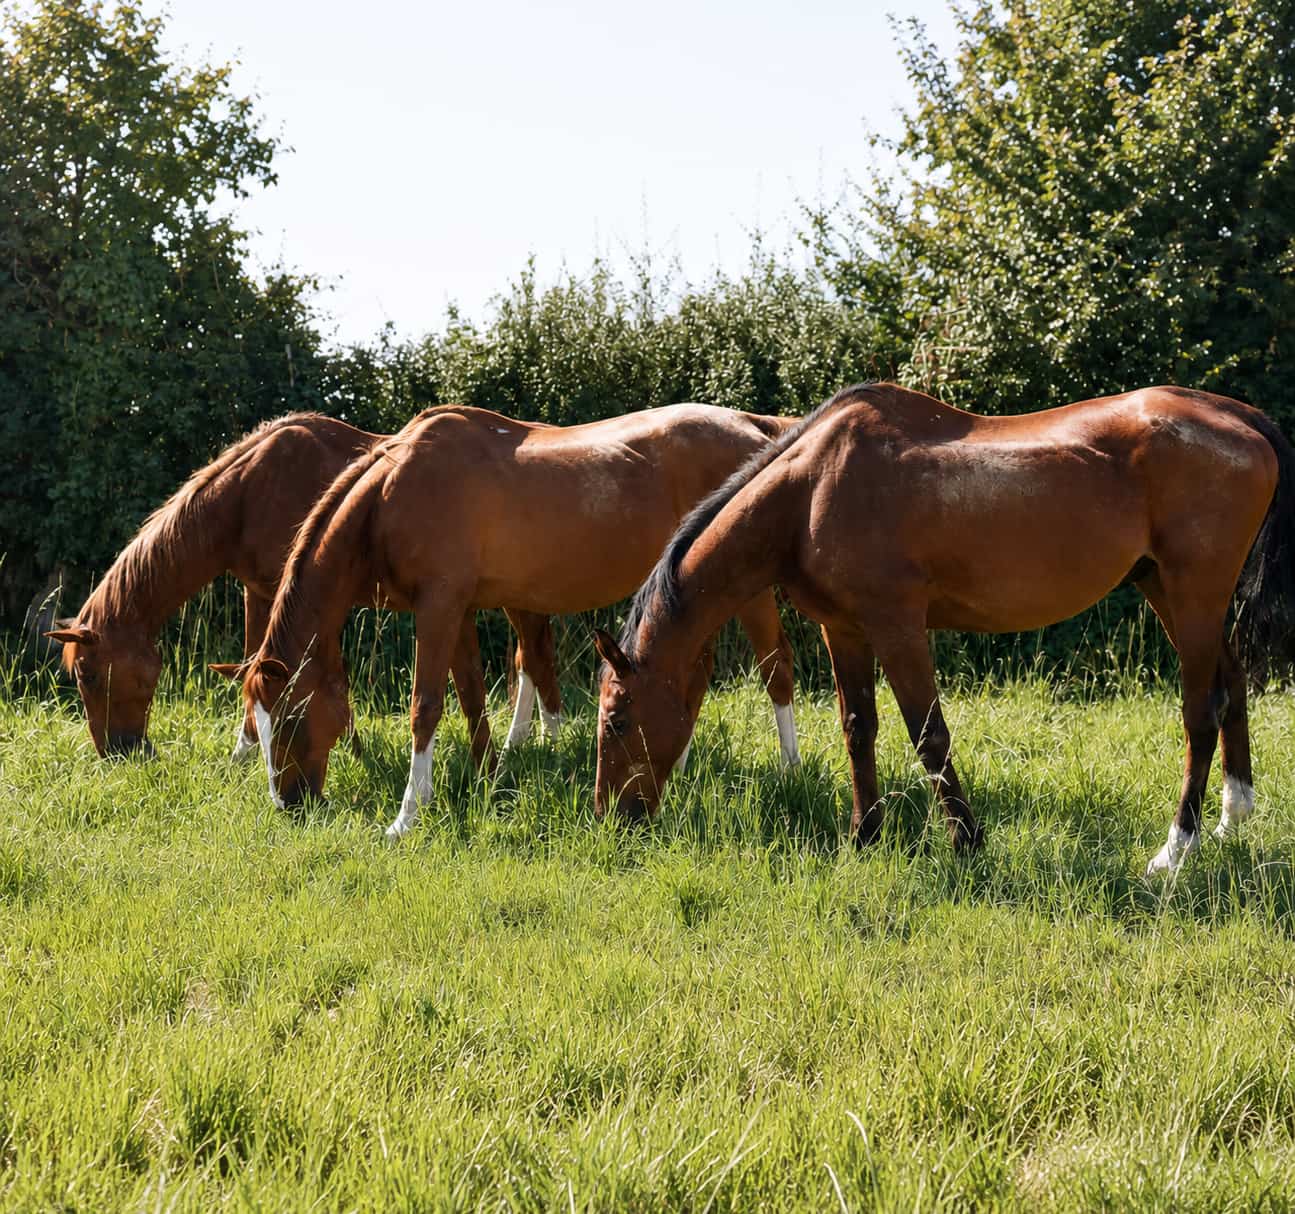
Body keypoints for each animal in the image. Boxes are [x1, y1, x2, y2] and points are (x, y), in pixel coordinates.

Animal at [45, 413, 565, 759]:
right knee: (529, 659)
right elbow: (254, 661)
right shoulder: (261, 591)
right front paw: (246, 753)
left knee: (536, 658)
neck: (247, 492)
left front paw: (348, 749)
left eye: (89, 675)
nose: (121, 753)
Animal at [229, 403, 803, 834]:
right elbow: (471, 697)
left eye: (290, 717)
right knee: (697, 674)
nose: (288, 804)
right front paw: (489, 778)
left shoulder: (438, 607)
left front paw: (407, 816)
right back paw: (679, 766)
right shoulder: (457, 610)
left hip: (748, 591)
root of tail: (753, 426)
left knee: (777, 668)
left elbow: (425, 707)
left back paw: (790, 772)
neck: (392, 493)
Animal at [593, 382, 1295, 876]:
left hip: (1193, 590)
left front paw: (965, 842)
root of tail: (1242, 418)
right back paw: (1233, 820)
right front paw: (864, 838)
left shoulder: (898, 626)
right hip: (1170, 591)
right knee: (1232, 688)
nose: (611, 819)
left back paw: (1173, 853)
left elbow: (928, 734)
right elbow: (859, 730)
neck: (811, 489)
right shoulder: (843, 630)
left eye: (618, 720)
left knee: (1201, 711)